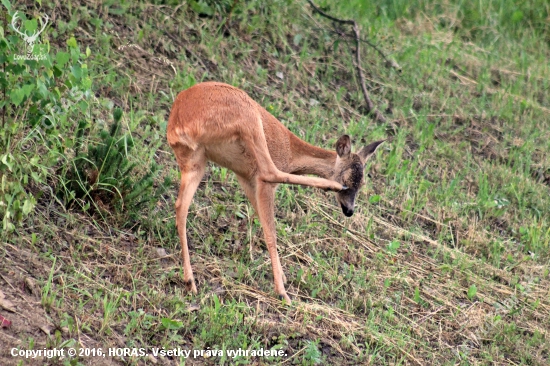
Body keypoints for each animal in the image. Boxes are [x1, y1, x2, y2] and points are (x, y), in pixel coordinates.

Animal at [166, 81, 386, 304]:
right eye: (346, 179)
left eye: (362, 183)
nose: (349, 210)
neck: (291, 152)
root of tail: (179, 122)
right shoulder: (259, 181)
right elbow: (270, 230)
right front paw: (281, 286)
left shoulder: (245, 178)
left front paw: (281, 275)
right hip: (249, 120)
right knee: (270, 172)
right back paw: (283, 293)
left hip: (193, 161)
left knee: (180, 207)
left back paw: (190, 282)